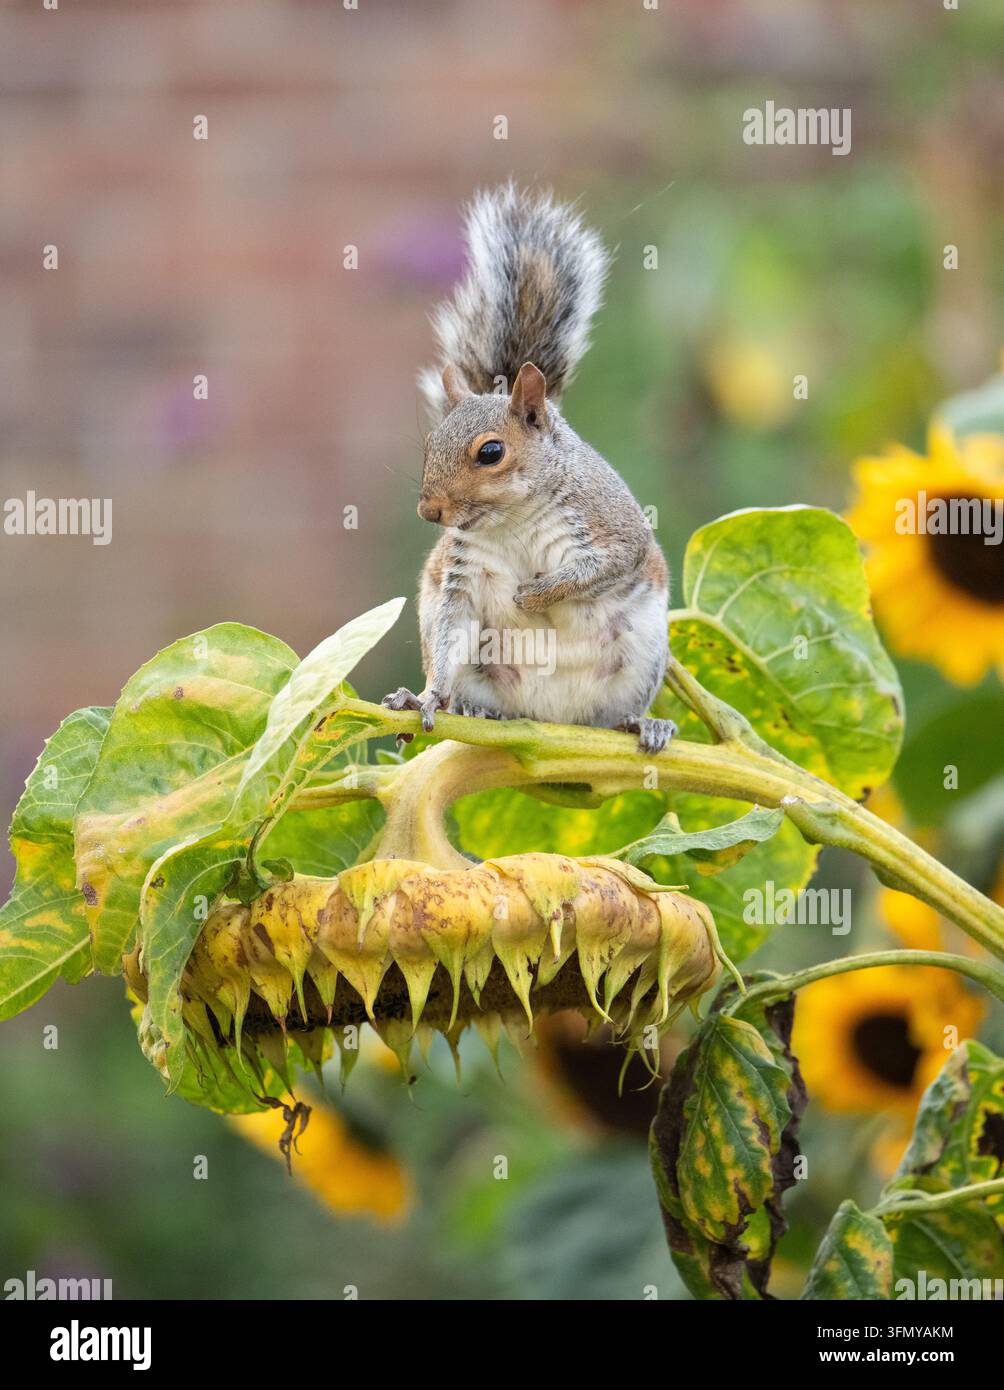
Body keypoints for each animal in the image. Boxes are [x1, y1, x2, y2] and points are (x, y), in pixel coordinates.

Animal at [383, 183, 675, 755]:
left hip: (643, 653)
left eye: (491, 453)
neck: (511, 520)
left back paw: (643, 724)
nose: (430, 511)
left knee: (615, 716)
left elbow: (601, 567)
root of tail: (552, 719)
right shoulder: (463, 579)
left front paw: (534, 594)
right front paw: (426, 698)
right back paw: (471, 708)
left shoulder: (612, 528)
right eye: (429, 443)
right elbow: (454, 632)